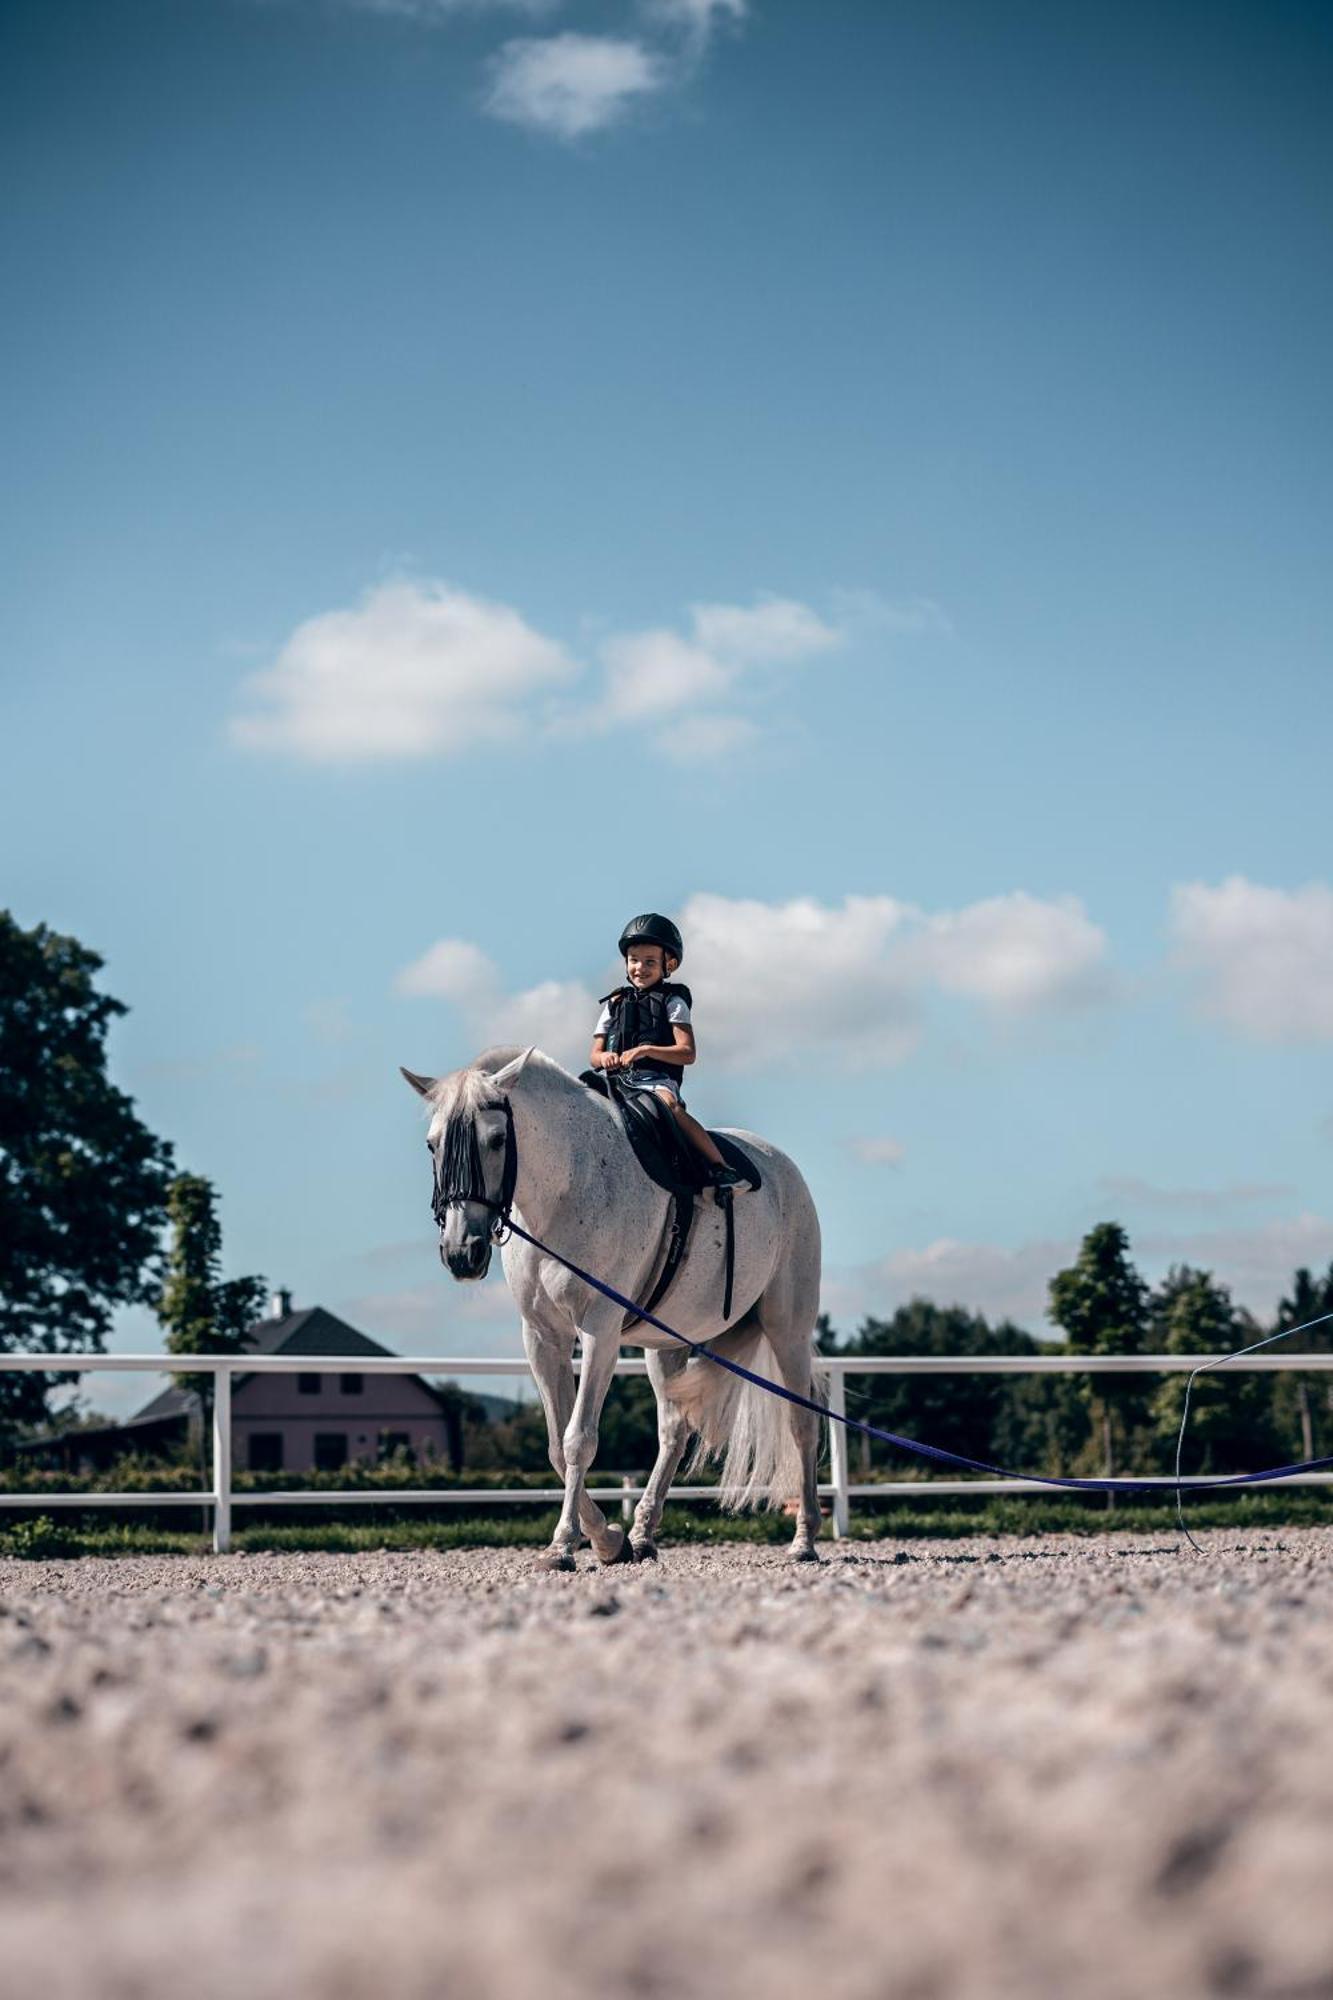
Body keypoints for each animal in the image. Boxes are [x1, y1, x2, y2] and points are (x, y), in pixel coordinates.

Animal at [400, 1048, 824, 1560]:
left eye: (497, 1139)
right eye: (432, 1145)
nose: (462, 1252)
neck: (566, 1190)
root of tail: (784, 1169)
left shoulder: (598, 1331)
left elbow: (579, 1438)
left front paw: (565, 1545)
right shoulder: (542, 1337)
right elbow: (555, 1446)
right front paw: (609, 1539)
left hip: (788, 1330)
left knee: (802, 1421)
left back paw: (804, 1539)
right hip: (665, 1345)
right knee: (674, 1430)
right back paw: (642, 1534)